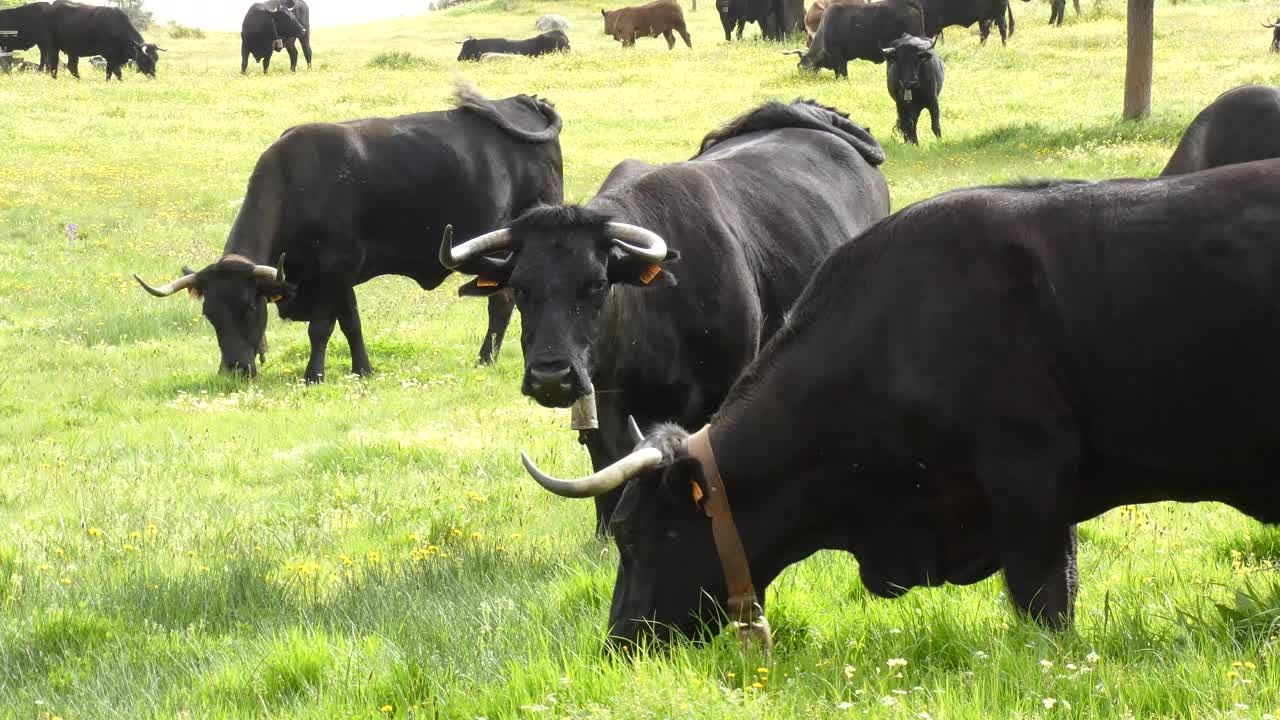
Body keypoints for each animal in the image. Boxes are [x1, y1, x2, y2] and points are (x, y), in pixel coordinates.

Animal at [133, 86, 565, 381]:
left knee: (503, 301)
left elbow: (322, 327)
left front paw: (314, 375)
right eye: (210, 314)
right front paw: (363, 368)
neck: (297, 181)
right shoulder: (339, 277)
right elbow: (351, 322)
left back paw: (485, 359)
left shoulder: (335, 268)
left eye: (248, 308)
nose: (235, 370)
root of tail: (521, 101)